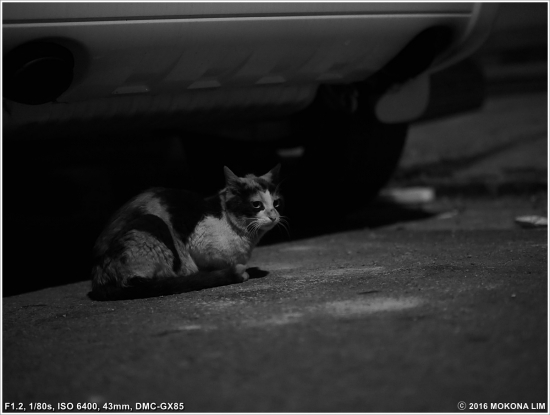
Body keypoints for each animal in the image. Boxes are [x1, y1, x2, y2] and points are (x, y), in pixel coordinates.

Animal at [89, 165, 284, 301]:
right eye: (256, 205)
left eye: (276, 203)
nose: (274, 216)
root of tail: (98, 277)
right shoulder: (199, 245)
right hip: (152, 224)